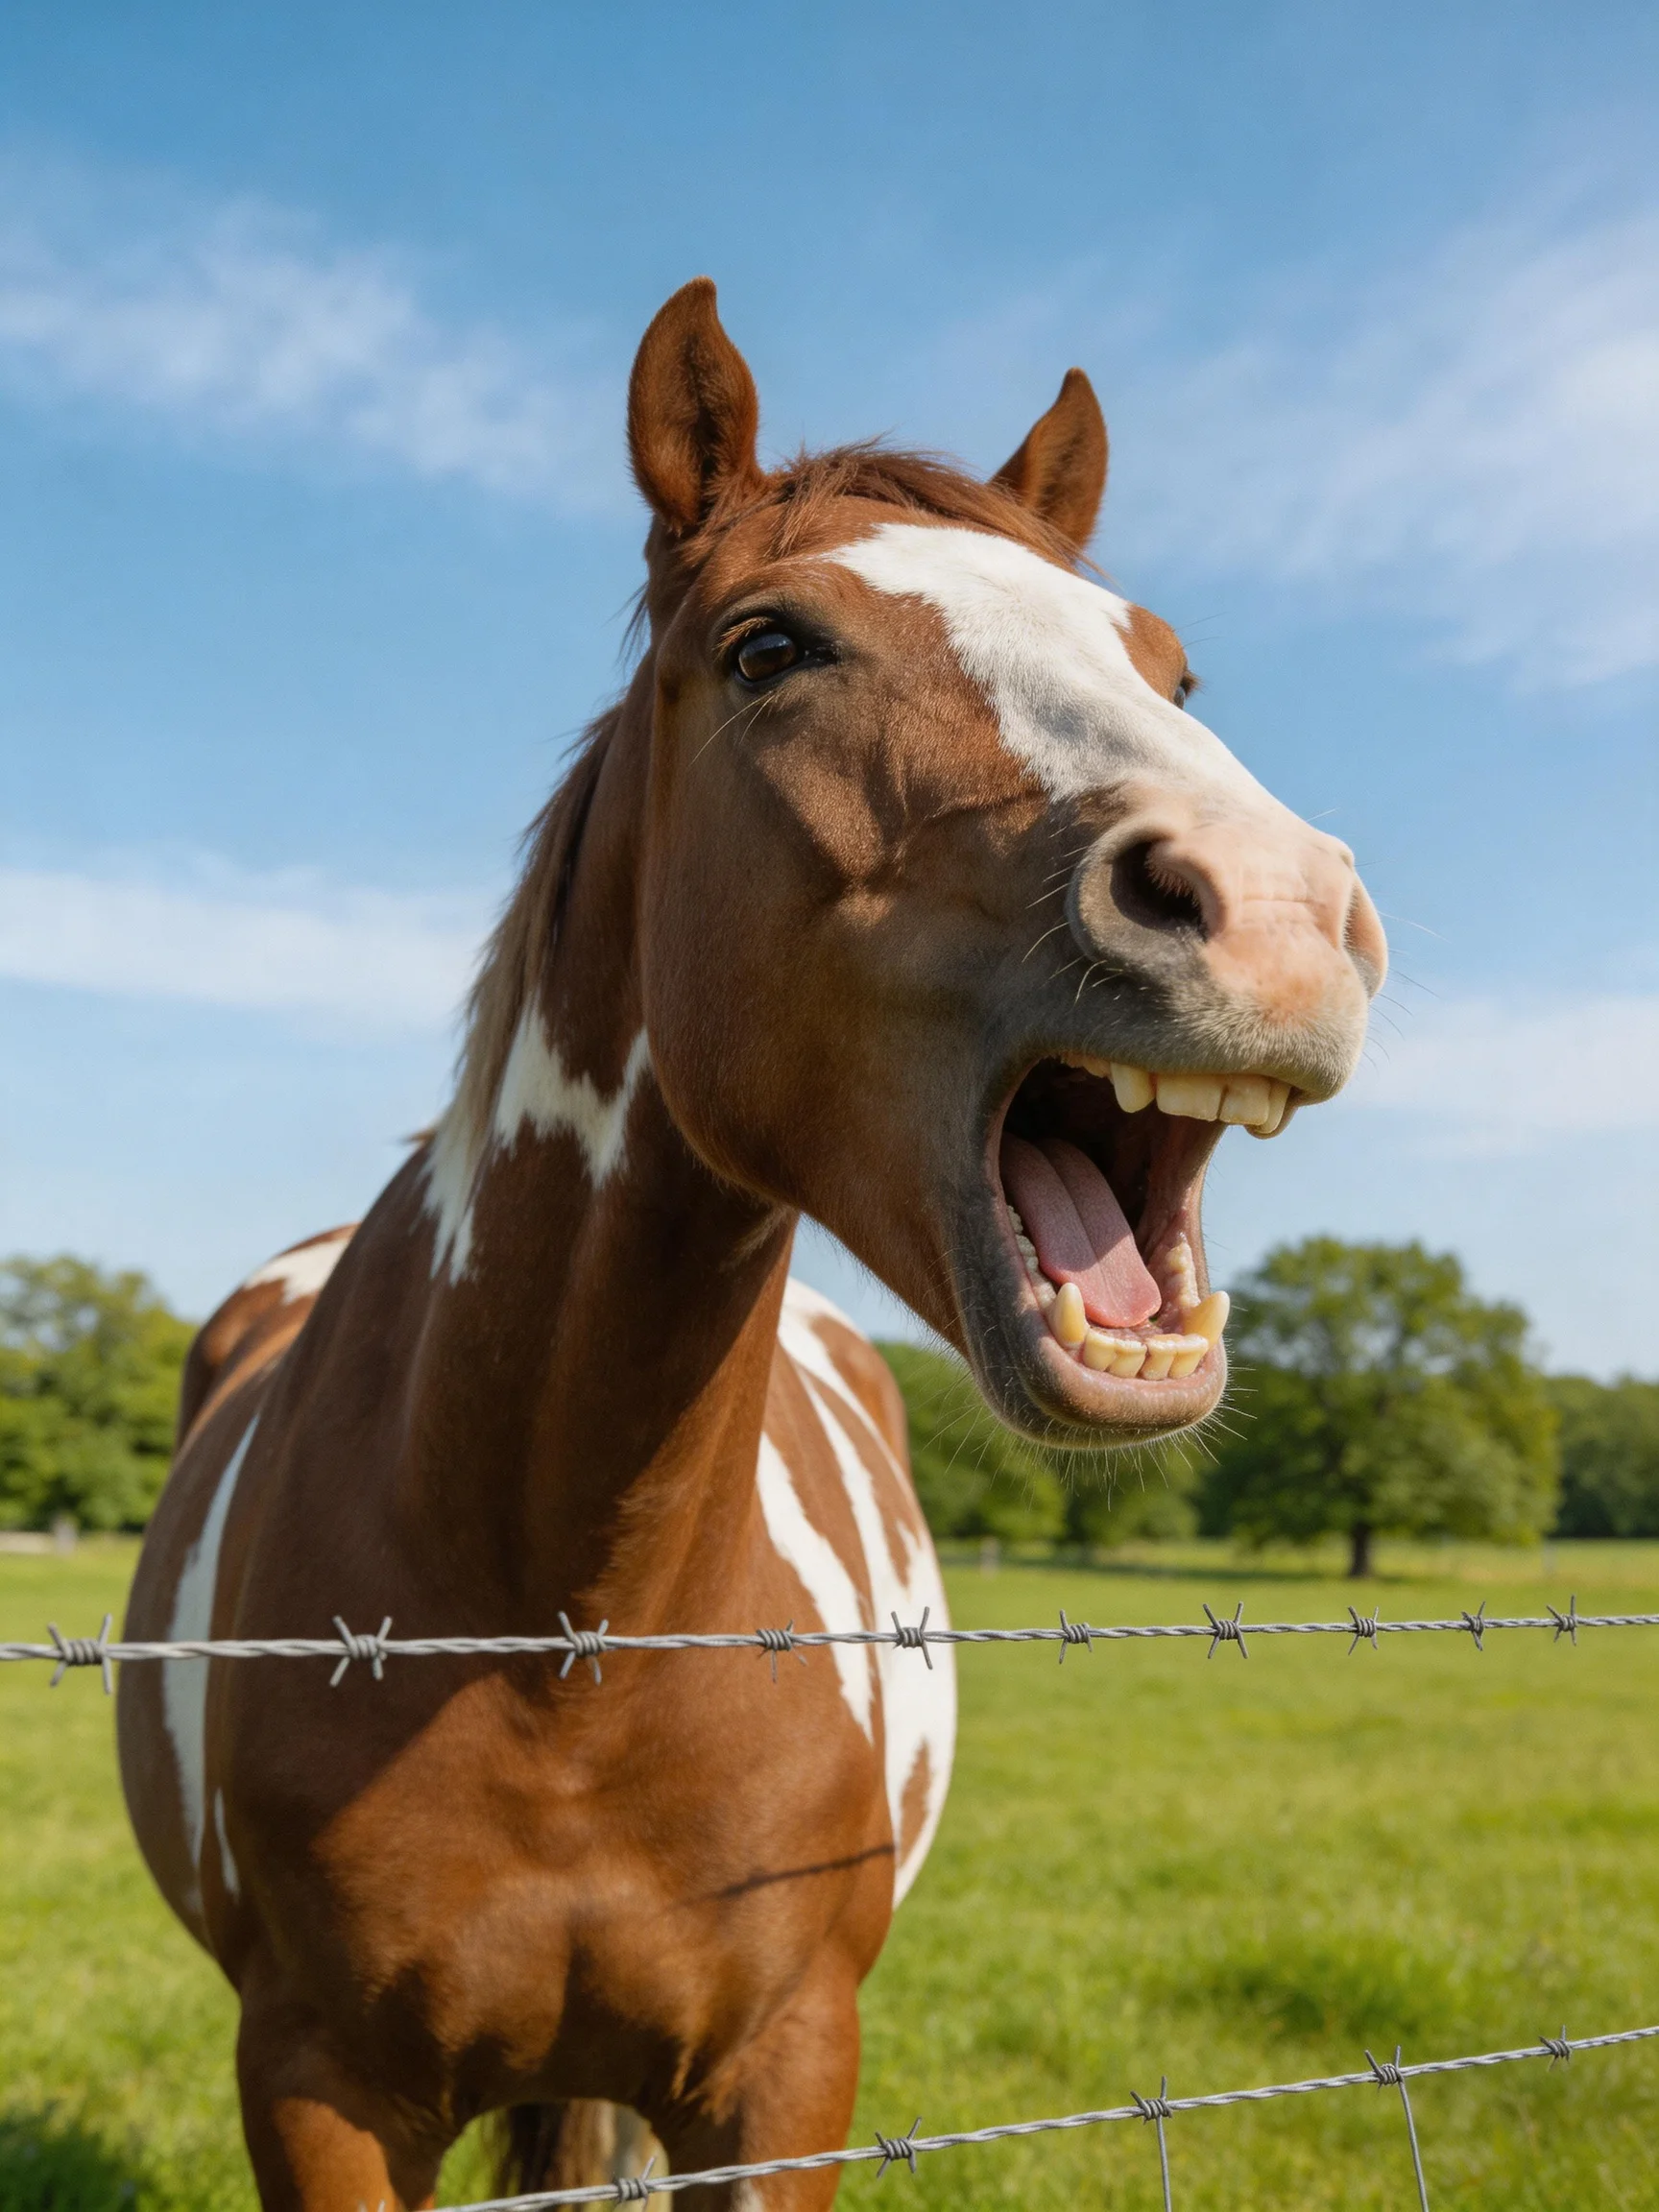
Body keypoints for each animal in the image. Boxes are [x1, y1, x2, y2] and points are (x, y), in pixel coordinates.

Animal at [117, 277, 1386, 2212]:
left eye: (1170, 671)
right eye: (768, 648)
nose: (1278, 913)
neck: (571, 1625)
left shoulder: (785, 2071)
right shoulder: (316, 2091)